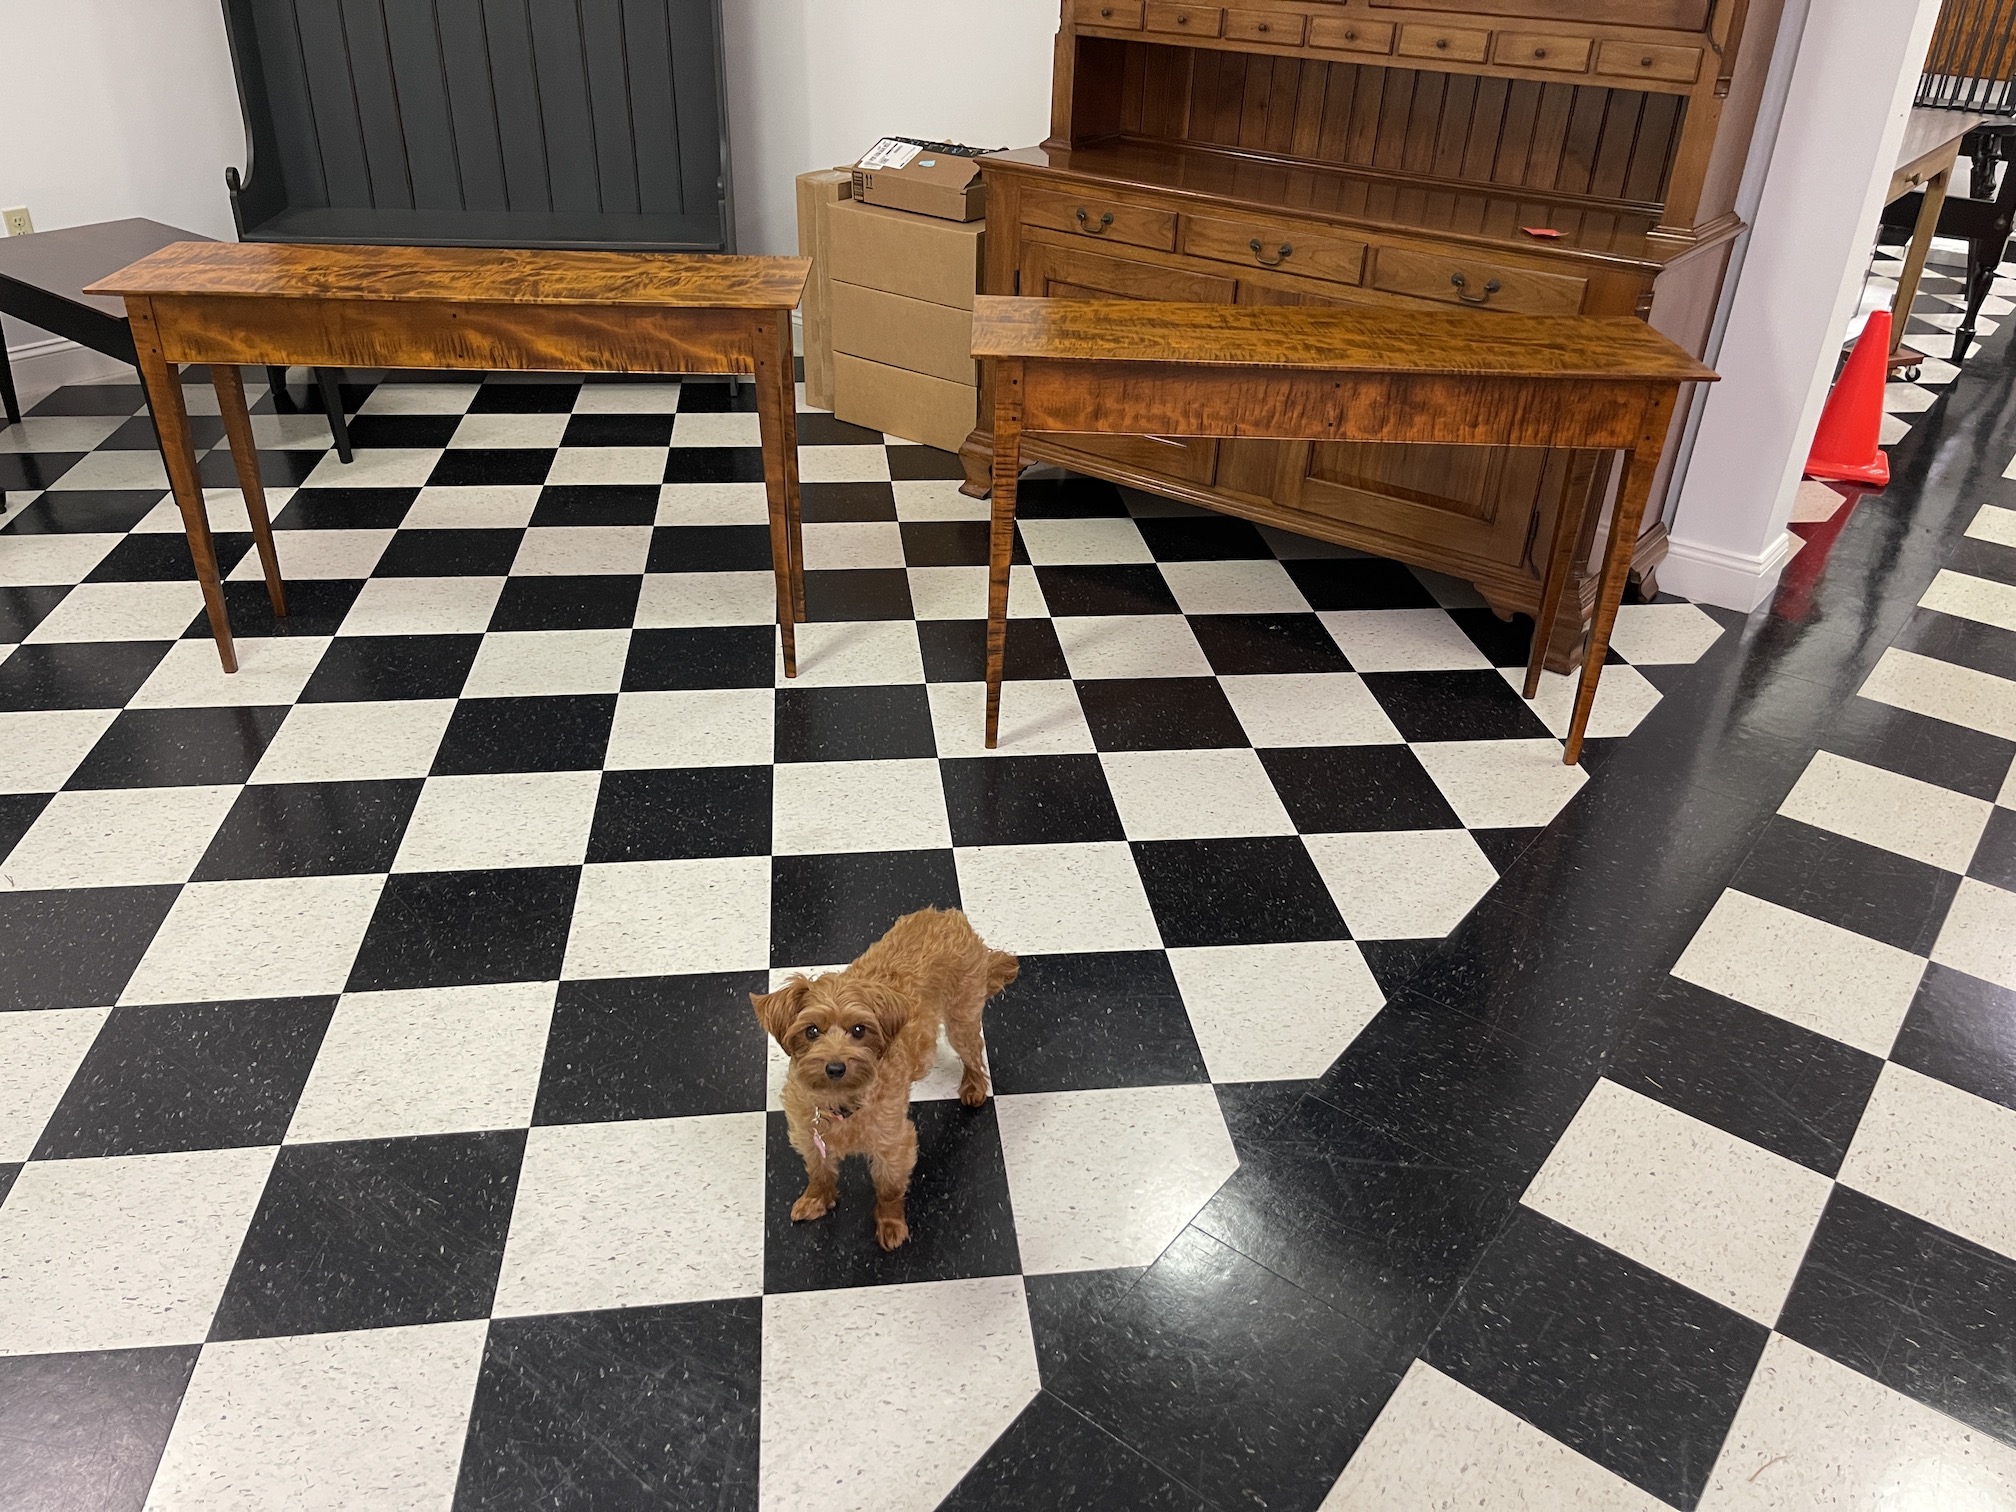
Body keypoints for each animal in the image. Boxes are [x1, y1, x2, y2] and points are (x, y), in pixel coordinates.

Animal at [749, 911, 1016, 1257]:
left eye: (859, 1030)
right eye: (811, 1031)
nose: (835, 1067)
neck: (843, 1103)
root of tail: (947, 915)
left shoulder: (895, 1143)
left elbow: (888, 1189)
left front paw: (890, 1225)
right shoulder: (807, 1133)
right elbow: (819, 1170)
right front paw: (817, 1198)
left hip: (962, 1018)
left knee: (974, 1053)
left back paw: (973, 1087)